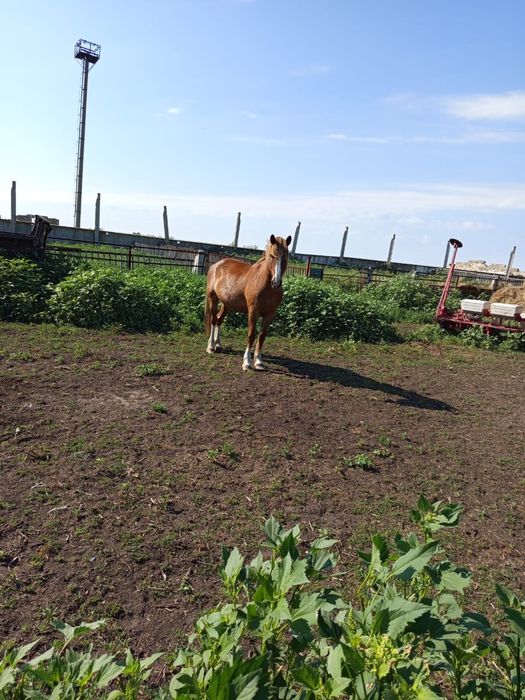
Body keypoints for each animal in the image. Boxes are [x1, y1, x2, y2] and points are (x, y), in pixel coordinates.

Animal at [205, 235, 292, 370]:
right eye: (272, 256)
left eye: (286, 257)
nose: (276, 282)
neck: (265, 285)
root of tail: (216, 265)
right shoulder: (253, 312)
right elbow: (251, 335)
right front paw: (247, 362)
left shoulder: (270, 314)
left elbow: (262, 336)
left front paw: (258, 362)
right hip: (213, 298)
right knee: (214, 320)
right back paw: (211, 346)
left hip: (227, 304)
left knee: (219, 319)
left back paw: (218, 345)